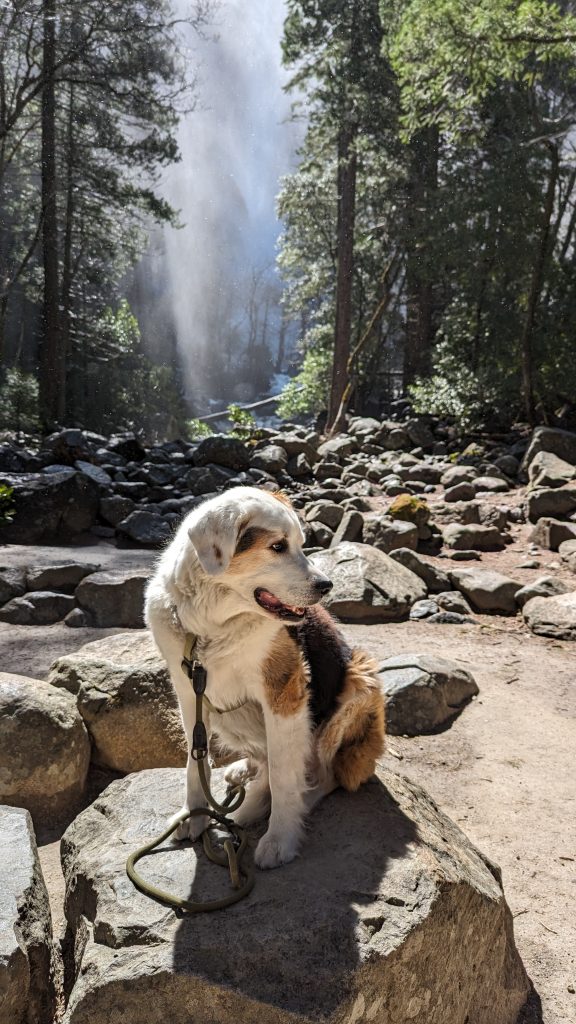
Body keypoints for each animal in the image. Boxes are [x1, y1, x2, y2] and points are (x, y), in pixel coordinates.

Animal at [145, 483, 383, 868]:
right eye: (277, 547)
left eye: (301, 543)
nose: (327, 585)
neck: (211, 627)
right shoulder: (188, 693)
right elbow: (195, 763)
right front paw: (195, 815)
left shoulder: (285, 693)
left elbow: (285, 777)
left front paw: (280, 838)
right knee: (266, 759)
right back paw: (245, 774)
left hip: (360, 682)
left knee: (323, 774)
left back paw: (267, 807)